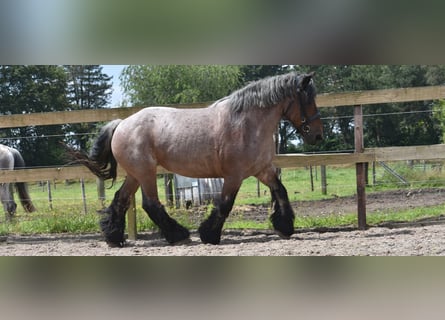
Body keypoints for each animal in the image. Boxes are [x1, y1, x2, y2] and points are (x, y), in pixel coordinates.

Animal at [73, 72, 322, 248]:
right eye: (309, 100)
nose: (318, 136)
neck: (248, 124)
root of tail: (121, 123)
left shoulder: (263, 170)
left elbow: (281, 191)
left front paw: (285, 227)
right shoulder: (235, 175)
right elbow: (225, 204)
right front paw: (209, 235)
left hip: (136, 174)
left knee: (121, 200)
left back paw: (113, 237)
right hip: (145, 173)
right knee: (151, 204)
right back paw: (178, 235)